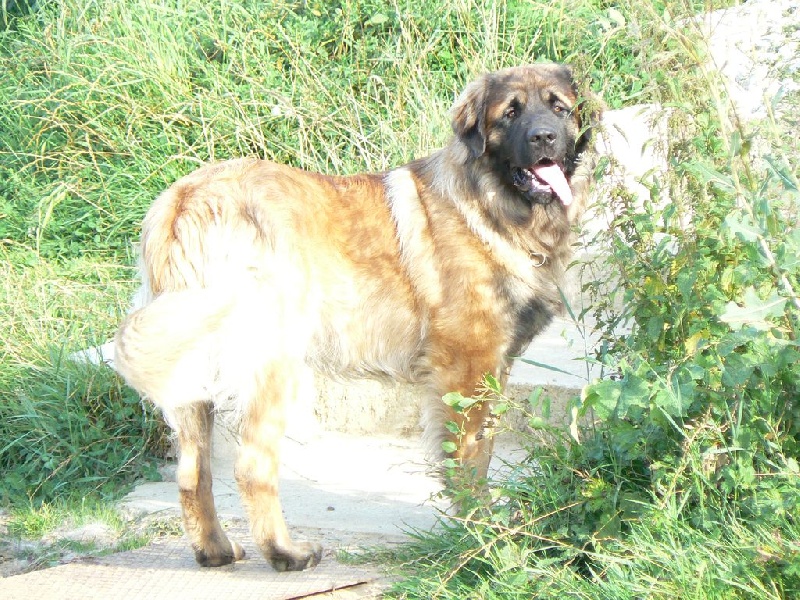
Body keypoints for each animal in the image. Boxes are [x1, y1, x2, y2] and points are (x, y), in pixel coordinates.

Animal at [114, 64, 600, 572]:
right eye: (510, 113)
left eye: (559, 108)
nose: (544, 137)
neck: (490, 208)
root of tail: (184, 201)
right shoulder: (467, 368)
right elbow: (469, 460)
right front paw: (483, 535)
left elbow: (481, 453)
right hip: (275, 364)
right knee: (251, 467)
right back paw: (287, 553)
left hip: (192, 376)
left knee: (193, 473)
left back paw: (215, 550)